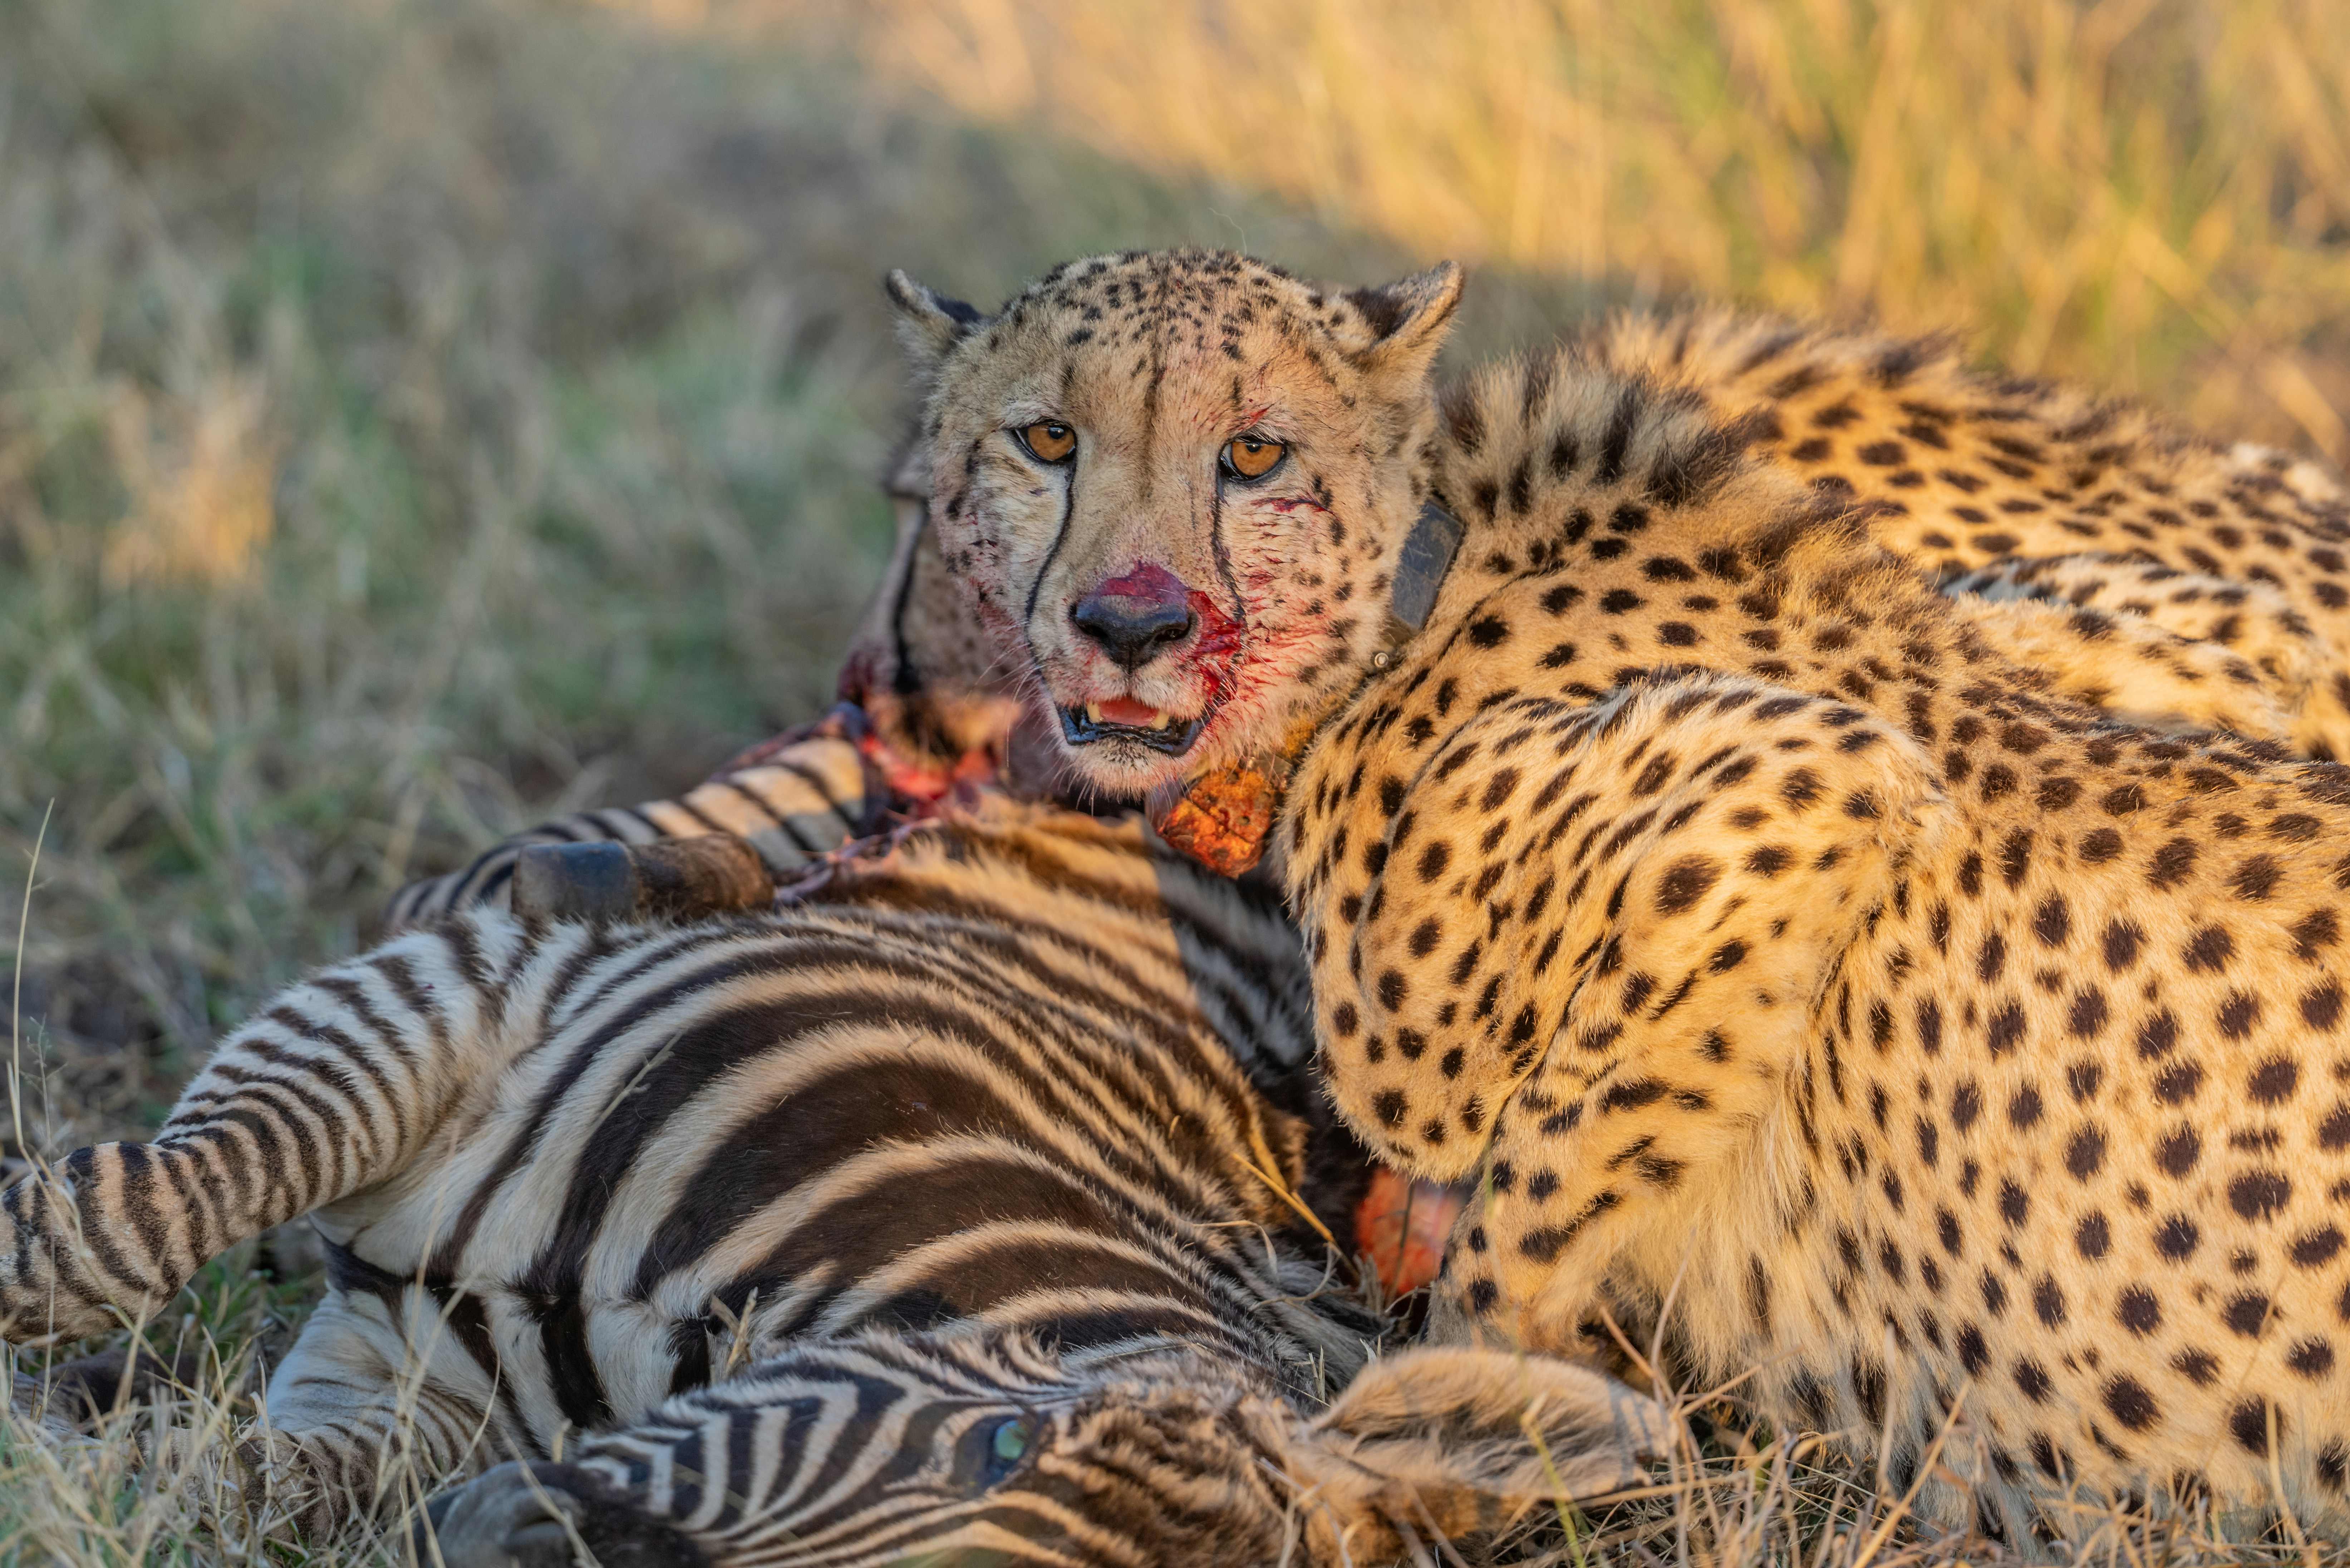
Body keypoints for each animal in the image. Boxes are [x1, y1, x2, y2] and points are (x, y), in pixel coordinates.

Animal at [0, 797, 1665, 1562]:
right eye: (996, 1443)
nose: (522, 1546)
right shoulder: (450, 1004)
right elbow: (120, 1225)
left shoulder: (400, 1411)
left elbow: (224, 1483)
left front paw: (77, 1466)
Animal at [882, 248, 2350, 1546]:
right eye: (1046, 440)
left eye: (1254, 455)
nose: (1131, 625)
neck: (1416, 593)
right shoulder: (2195, 644)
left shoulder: (1797, 797)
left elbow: (1505, 1219)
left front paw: (1470, 1435)